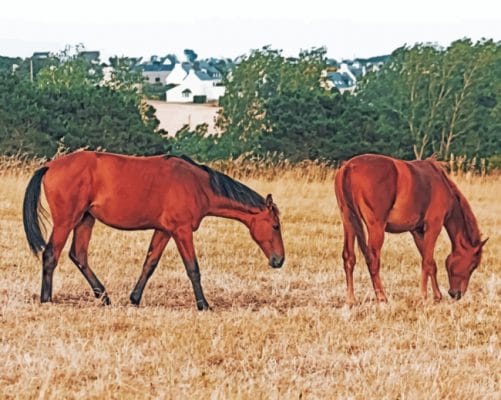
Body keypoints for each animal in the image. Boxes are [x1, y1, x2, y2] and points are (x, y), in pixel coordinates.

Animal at [23, 150, 285, 310]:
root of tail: (49, 166)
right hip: (66, 221)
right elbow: (193, 269)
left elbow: (149, 264)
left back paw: (104, 297)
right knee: (51, 255)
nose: (279, 260)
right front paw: (204, 305)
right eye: (275, 226)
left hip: (85, 220)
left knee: (78, 255)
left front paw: (135, 298)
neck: (198, 185)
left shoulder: (164, 231)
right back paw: (46, 299)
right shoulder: (182, 231)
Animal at [334, 154, 487, 305]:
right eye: (473, 266)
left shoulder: (417, 231)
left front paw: (437, 295)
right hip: (376, 227)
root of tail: (348, 167)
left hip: (348, 221)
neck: (441, 183)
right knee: (373, 259)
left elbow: (431, 262)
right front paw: (424, 295)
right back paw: (382, 297)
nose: (456, 294)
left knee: (349, 257)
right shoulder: (433, 227)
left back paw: (351, 299)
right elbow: (427, 262)